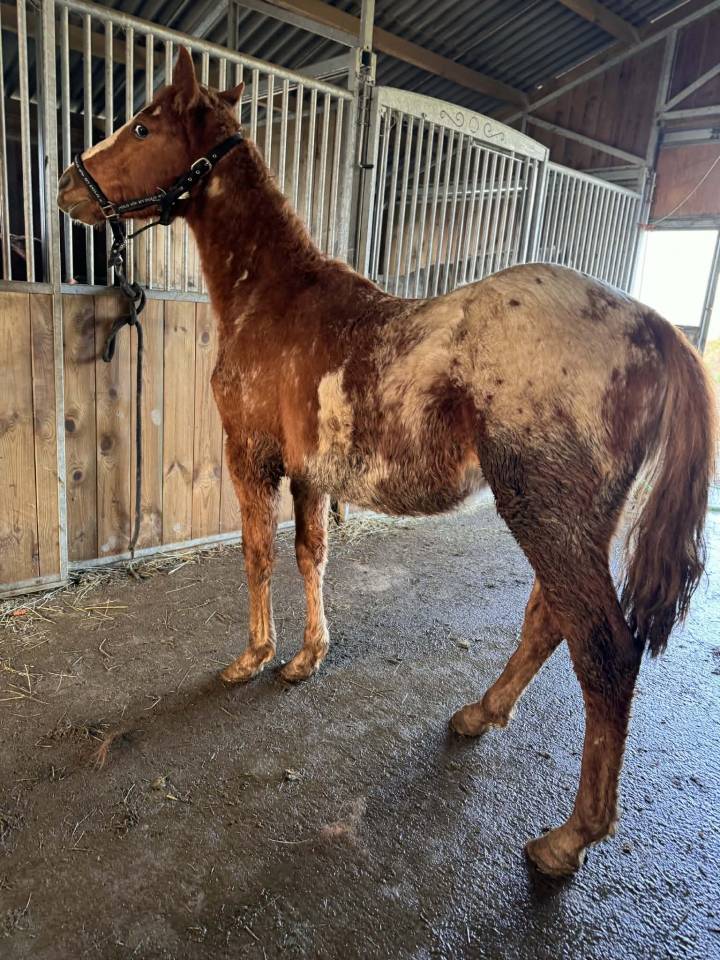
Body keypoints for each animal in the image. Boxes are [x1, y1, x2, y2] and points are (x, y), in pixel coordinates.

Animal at [57, 47, 716, 878]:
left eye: (143, 125)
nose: (66, 185)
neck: (273, 298)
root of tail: (652, 325)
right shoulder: (309, 473)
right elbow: (311, 554)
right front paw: (305, 658)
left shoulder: (251, 458)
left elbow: (255, 554)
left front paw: (252, 656)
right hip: (577, 523)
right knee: (548, 620)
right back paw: (479, 714)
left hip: (548, 515)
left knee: (605, 650)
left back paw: (566, 840)